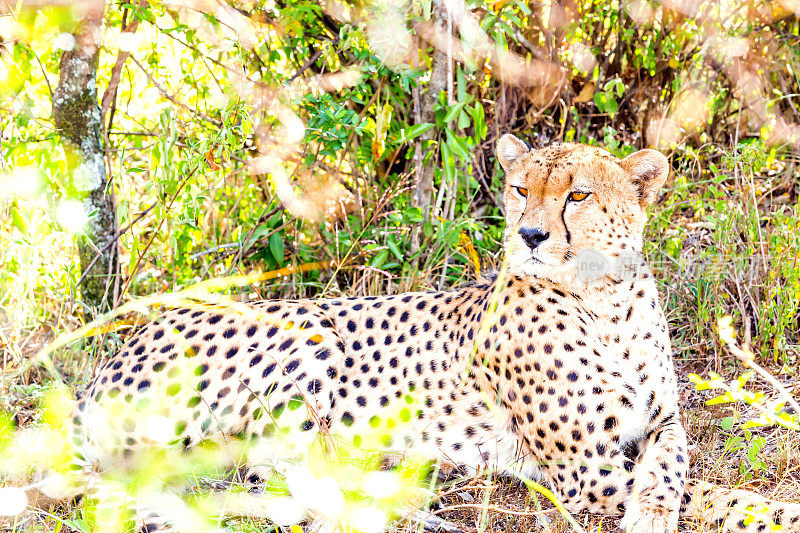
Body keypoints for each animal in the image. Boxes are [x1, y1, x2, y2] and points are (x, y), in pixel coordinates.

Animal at [59, 135, 800, 528]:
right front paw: (767, 510)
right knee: (268, 464)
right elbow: (710, 492)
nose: (529, 235)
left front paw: (656, 503)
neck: (604, 300)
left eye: (577, 194)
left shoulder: (664, 418)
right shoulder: (582, 471)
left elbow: (672, 467)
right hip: (305, 331)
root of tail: (110, 360)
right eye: (521, 189)